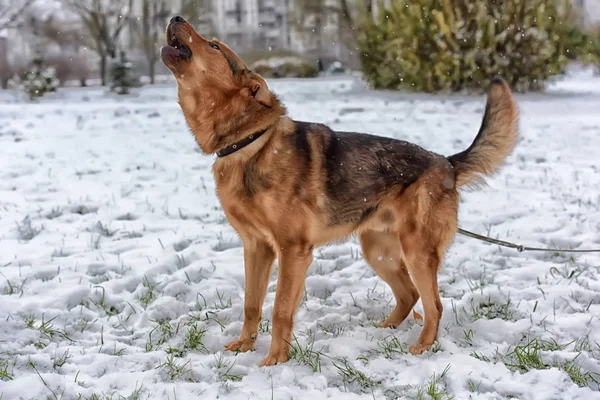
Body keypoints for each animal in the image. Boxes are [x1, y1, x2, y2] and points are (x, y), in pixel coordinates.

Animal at [161, 15, 520, 366]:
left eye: (214, 46)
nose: (175, 16)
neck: (249, 142)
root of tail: (446, 163)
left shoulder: (292, 251)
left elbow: (279, 310)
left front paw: (275, 361)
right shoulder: (256, 248)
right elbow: (252, 304)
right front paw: (246, 347)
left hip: (416, 250)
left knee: (434, 304)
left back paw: (422, 347)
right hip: (378, 250)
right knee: (410, 294)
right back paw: (386, 330)